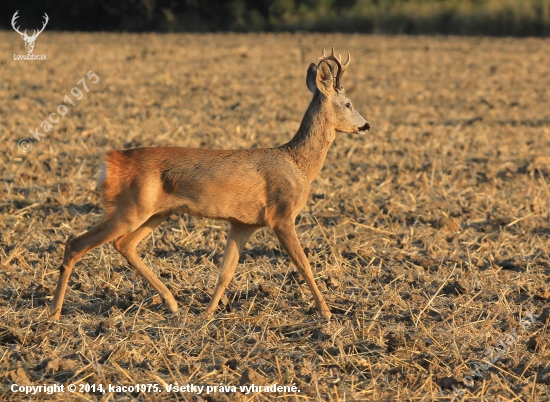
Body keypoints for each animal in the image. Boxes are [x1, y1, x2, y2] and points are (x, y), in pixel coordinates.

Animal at [50, 48, 370, 320]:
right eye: (348, 103)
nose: (366, 125)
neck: (299, 164)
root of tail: (112, 161)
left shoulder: (243, 223)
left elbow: (225, 272)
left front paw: (207, 313)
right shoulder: (281, 214)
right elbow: (303, 264)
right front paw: (327, 312)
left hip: (157, 212)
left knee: (124, 244)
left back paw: (172, 303)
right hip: (129, 208)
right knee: (75, 244)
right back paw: (53, 312)